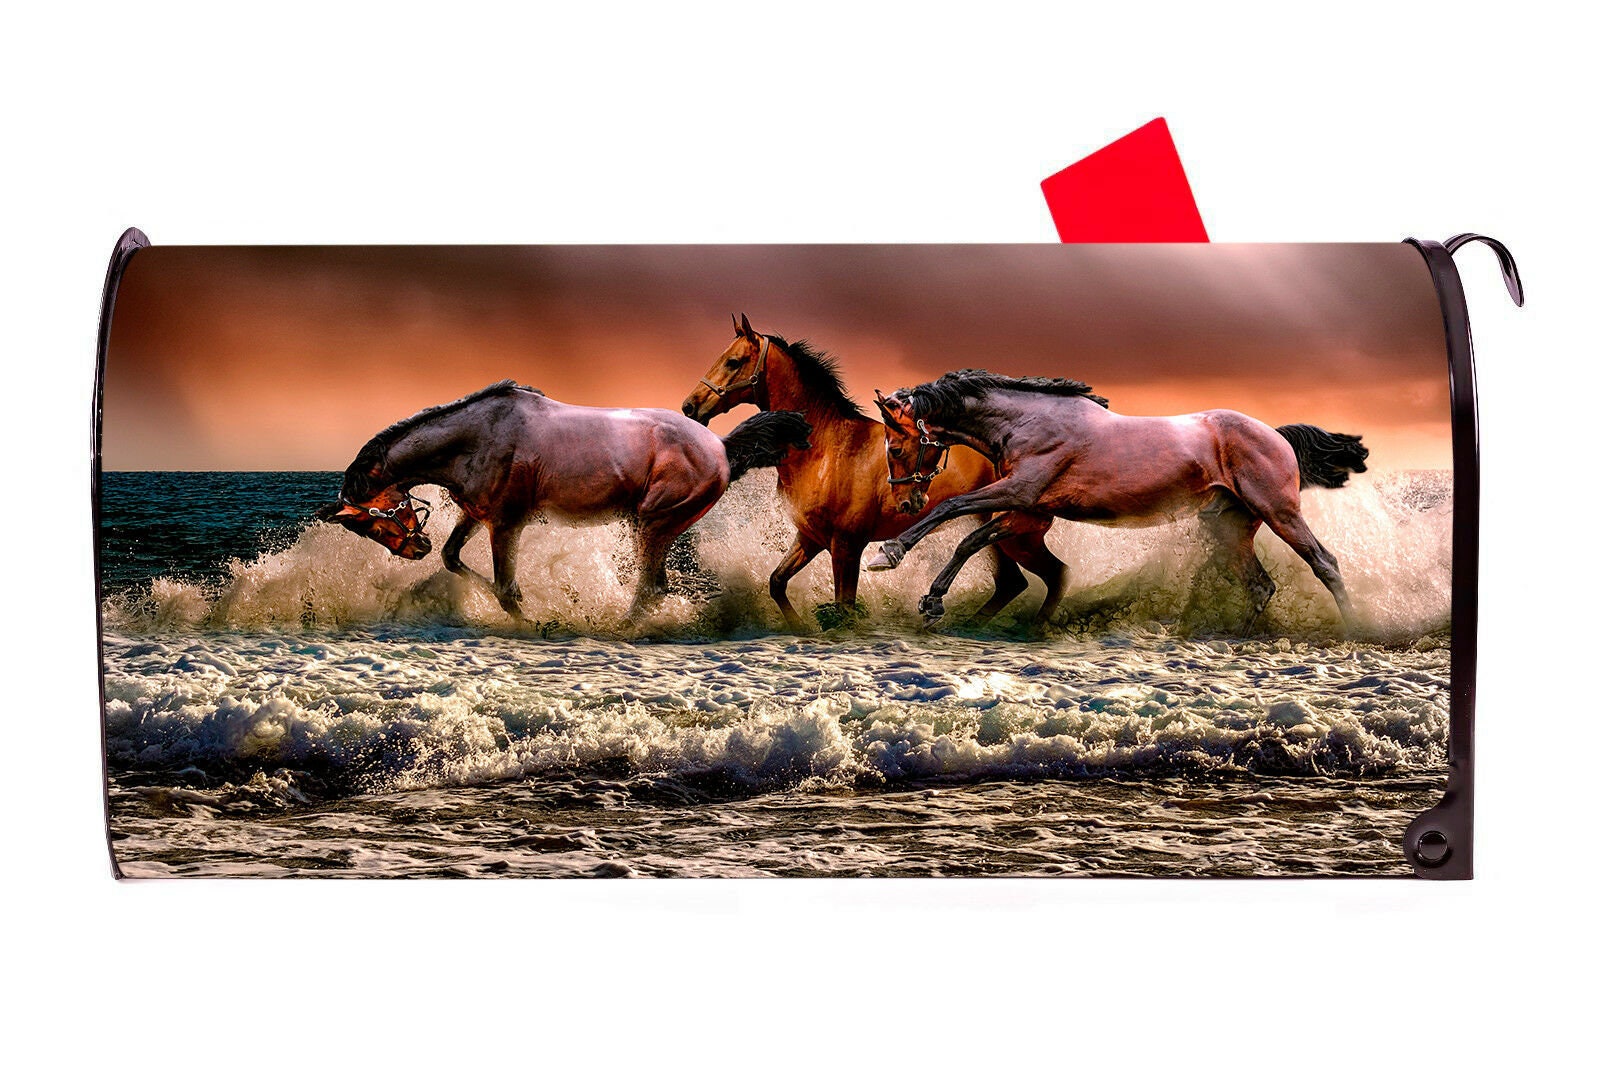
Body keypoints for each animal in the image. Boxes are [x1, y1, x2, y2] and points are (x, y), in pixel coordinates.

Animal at [319, 380, 812, 621]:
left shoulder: (507, 523)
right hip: (653, 527)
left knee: (650, 589)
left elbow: (506, 590)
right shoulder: (476, 515)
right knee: (655, 587)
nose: (413, 549)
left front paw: (533, 624)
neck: (476, 438)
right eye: (364, 528)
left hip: (653, 523)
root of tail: (722, 447)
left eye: (373, 518)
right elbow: (453, 558)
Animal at [680, 315, 1068, 629]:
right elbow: (777, 583)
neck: (827, 449)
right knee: (1015, 582)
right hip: (1000, 536)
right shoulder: (810, 538)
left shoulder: (846, 546)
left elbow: (844, 608)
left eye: (733, 361)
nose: (689, 407)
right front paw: (800, 628)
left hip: (1016, 536)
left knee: (1050, 576)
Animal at [867, 369, 1369, 631]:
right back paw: (1234, 638)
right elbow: (970, 541)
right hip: (1229, 527)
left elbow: (951, 510)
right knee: (1260, 585)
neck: (1028, 422)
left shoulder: (1020, 492)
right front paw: (932, 600)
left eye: (895, 448)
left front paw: (888, 554)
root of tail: (1276, 435)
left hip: (1279, 512)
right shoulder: (1028, 511)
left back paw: (1356, 627)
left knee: (1324, 563)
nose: (907, 501)